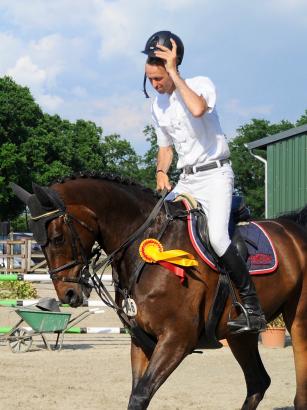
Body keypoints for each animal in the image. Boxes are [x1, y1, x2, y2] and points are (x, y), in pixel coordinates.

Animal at [12, 175, 307, 408]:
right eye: (38, 241)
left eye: (58, 237)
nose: (68, 294)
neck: (147, 245)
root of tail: (294, 228)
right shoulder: (141, 340)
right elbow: (136, 394)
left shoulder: (177, 339)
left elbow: (141, 395)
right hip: (239, 334)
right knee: (258, 383)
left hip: (298, 321)